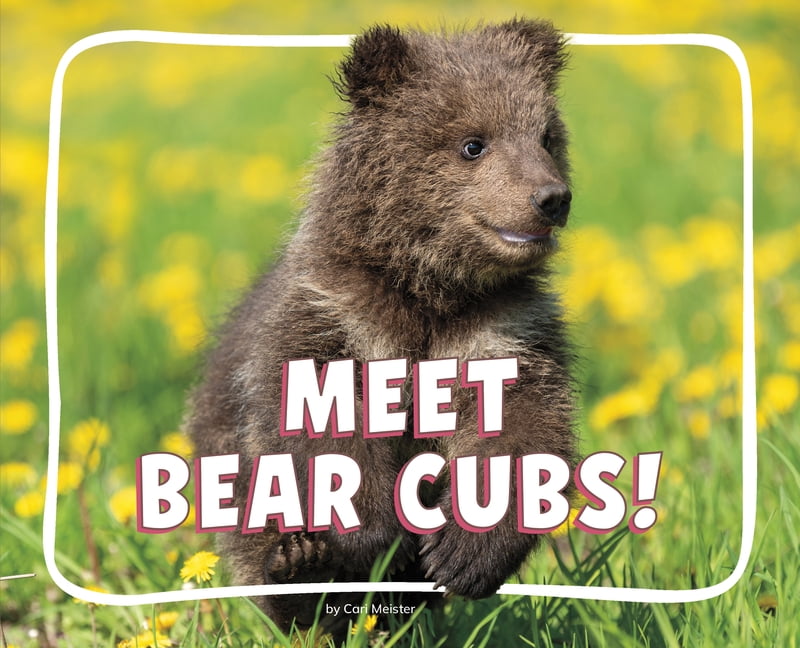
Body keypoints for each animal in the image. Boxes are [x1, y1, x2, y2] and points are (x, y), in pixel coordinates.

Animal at [188, 17, 577, 635]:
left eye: (544, 136)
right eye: (473, 142)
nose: (551, 197)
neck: (430, 288)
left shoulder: (502, 330)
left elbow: (521, 428)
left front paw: (465, 552)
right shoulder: (333, 315)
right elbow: (319, 422)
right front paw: (370, 539)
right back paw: (303, 574)